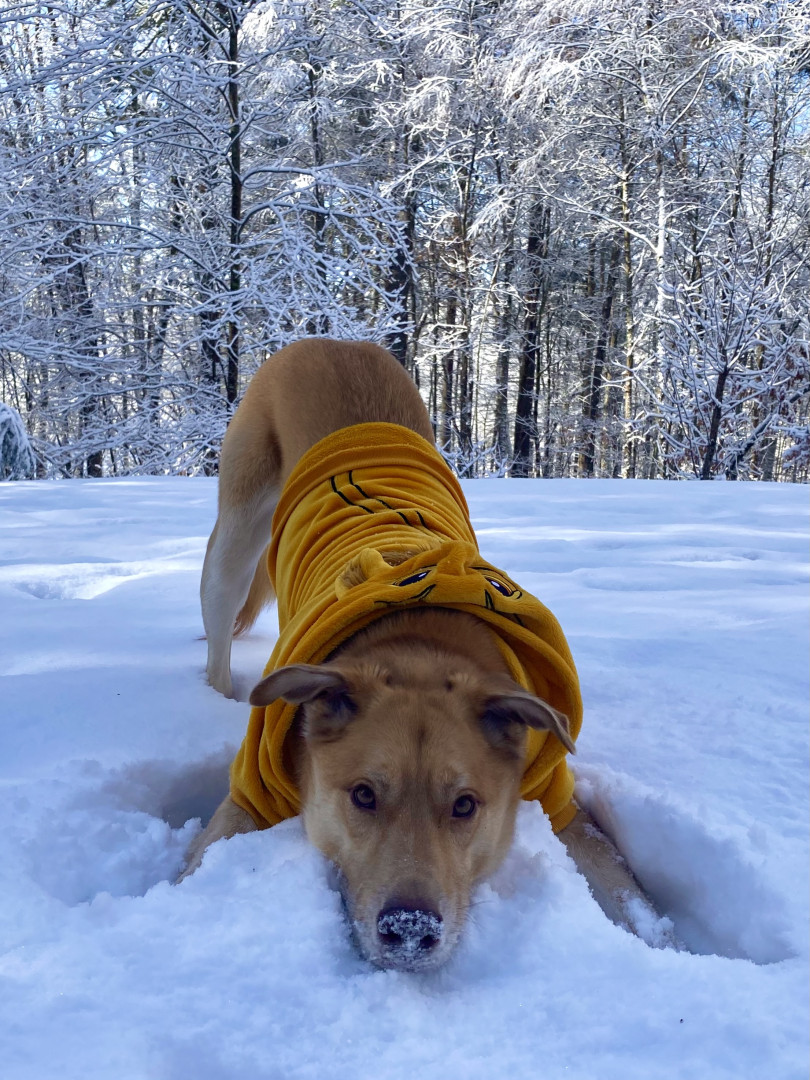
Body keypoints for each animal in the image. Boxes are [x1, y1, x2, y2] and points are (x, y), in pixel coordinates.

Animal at [180, 339, 673, 969]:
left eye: (465, 805)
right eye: (363, 795)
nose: (411, 929)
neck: (421, 643)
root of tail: (329, 340)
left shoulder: (558, 801)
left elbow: (625, 886)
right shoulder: (250, 796)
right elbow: (195, 866)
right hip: (236, 536)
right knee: (219, 621)